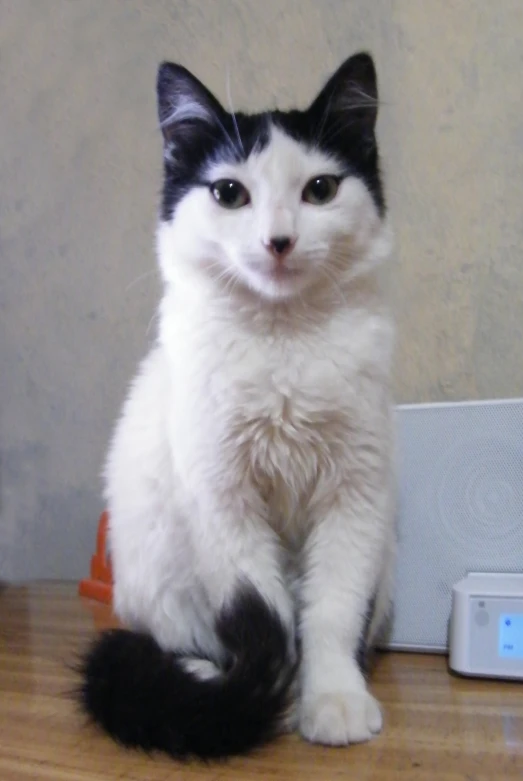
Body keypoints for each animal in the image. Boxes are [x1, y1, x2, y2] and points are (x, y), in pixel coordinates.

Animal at [80, 51, 396, 760]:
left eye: (320, 190)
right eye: (229, 194)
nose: (279, 240)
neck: (283, 340)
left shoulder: (356, 495)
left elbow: (332, 609)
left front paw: (331, 697)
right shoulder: (221, 499)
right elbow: (262, 610)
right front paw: (261, 693)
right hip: (154, 570)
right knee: (175, 636)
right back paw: (199, 674)